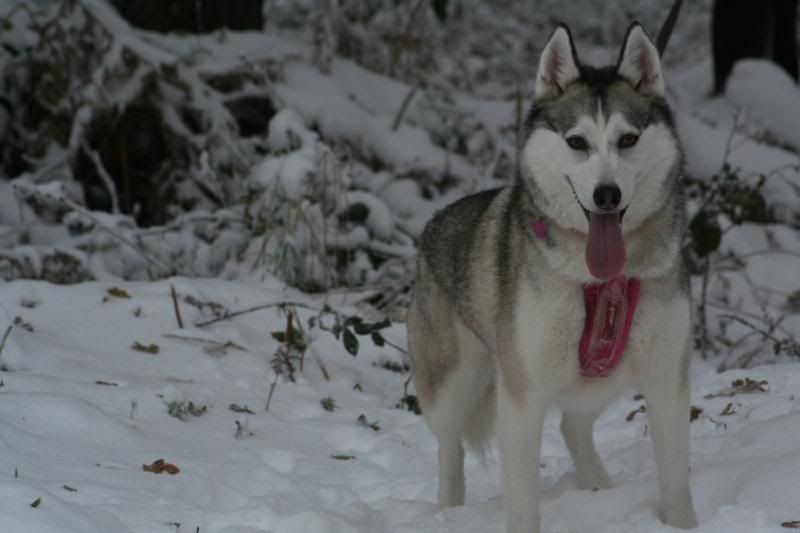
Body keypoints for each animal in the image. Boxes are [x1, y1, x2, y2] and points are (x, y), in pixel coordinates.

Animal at [410, 21, 696, 532]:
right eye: (577, 142)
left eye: (627, 139)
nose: (607, 195)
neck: (602, 280)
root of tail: (432, 225)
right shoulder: (522, 394)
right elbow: (522, 499)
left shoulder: (668, 380)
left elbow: (676, 484)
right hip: (450, 382)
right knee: (449, 447)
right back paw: (450, 509)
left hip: (595, 382)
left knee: (573, 425)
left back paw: (599, 486)